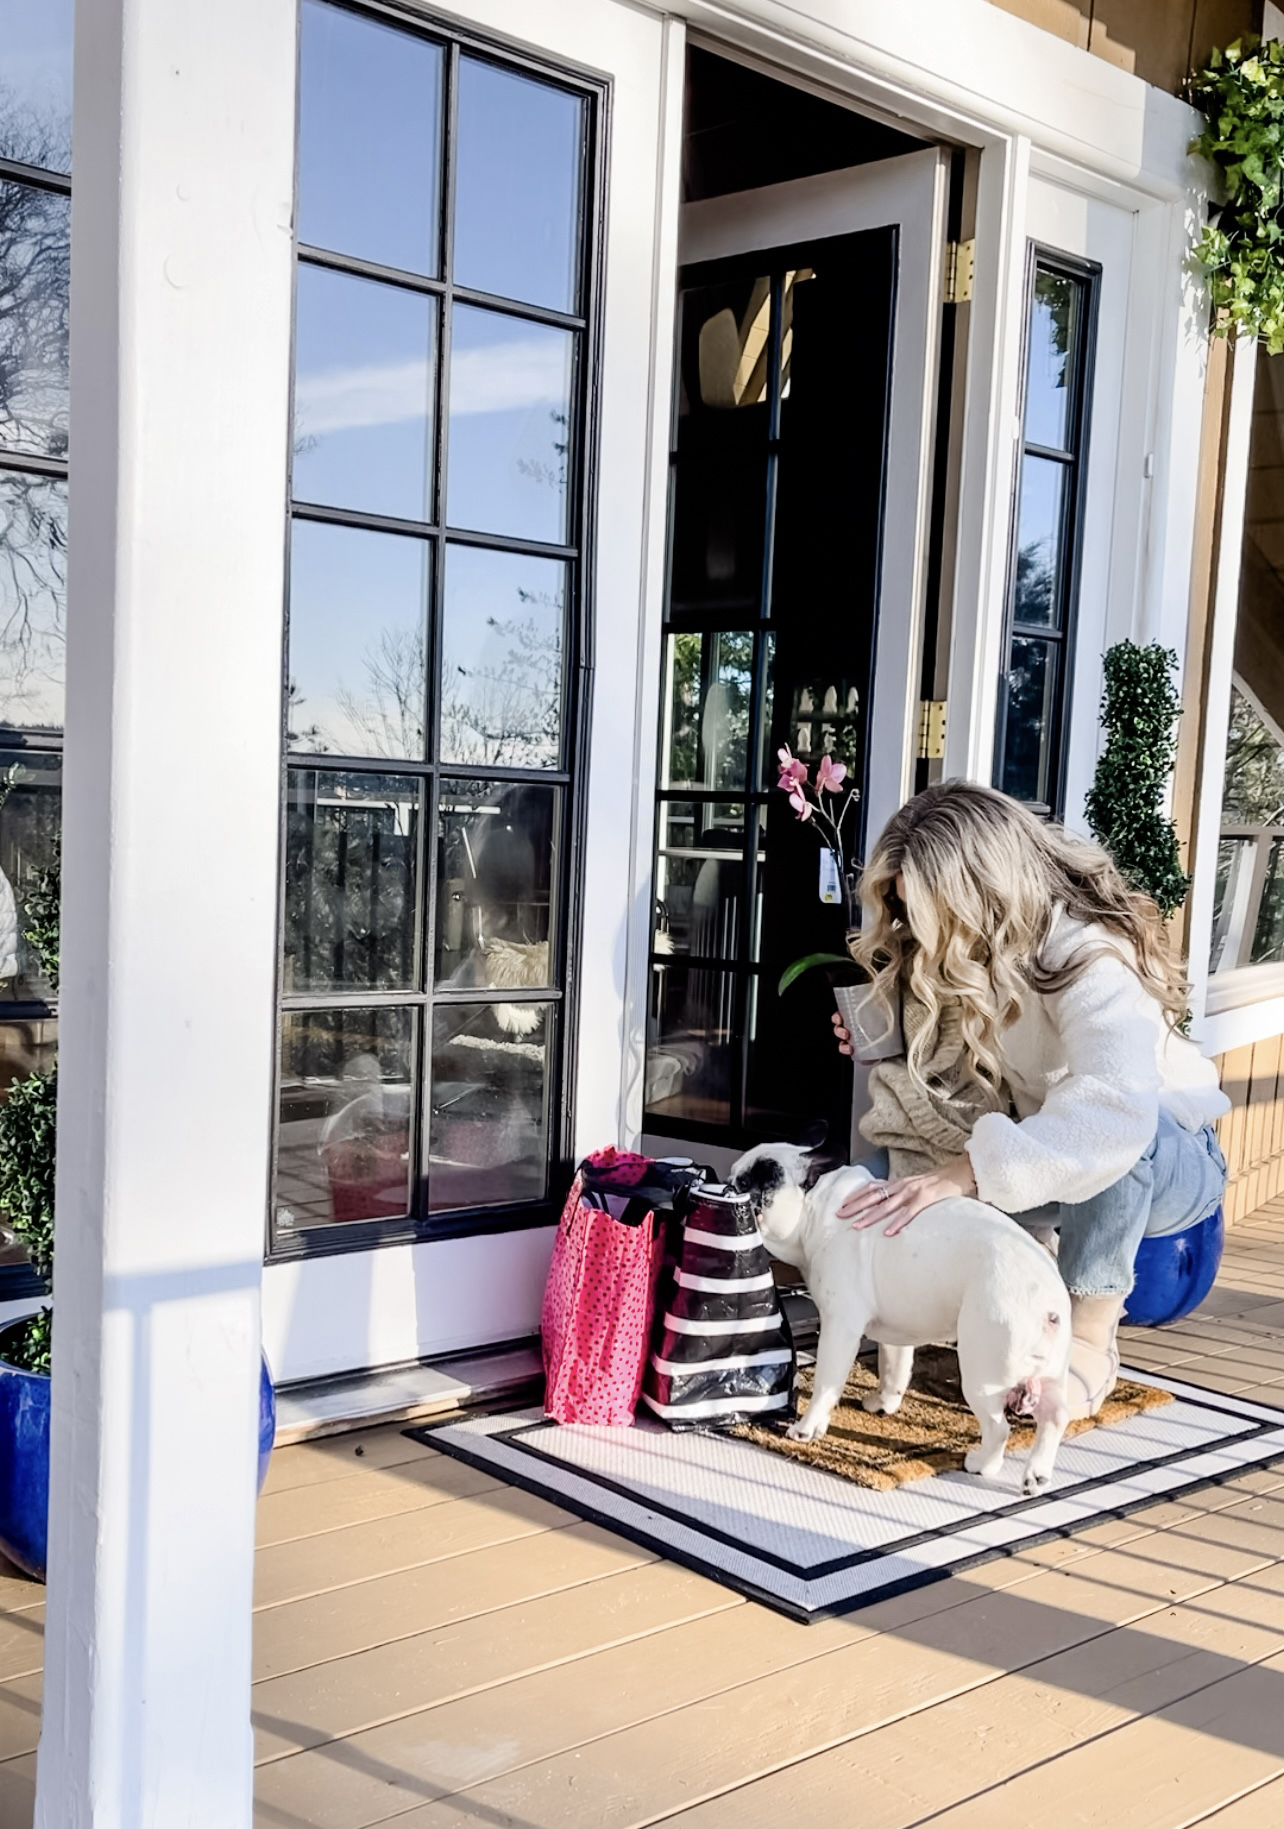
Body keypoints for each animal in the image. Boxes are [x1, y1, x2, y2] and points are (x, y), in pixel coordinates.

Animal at [735, 1148, 1075, 1492]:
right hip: (1051, 1371)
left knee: (999, 1428)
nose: (726, 1182)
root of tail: (1046, 1300)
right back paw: (1037, 1474)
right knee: (1055, 1416)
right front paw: (884, 1403)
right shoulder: (897, 1332)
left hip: (983, 1375)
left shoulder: (839, 1327)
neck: (818, 1208)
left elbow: (825, 1384)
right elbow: (894, 1369)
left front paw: (807, 1428)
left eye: (748, 1183)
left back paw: (983, 1464)